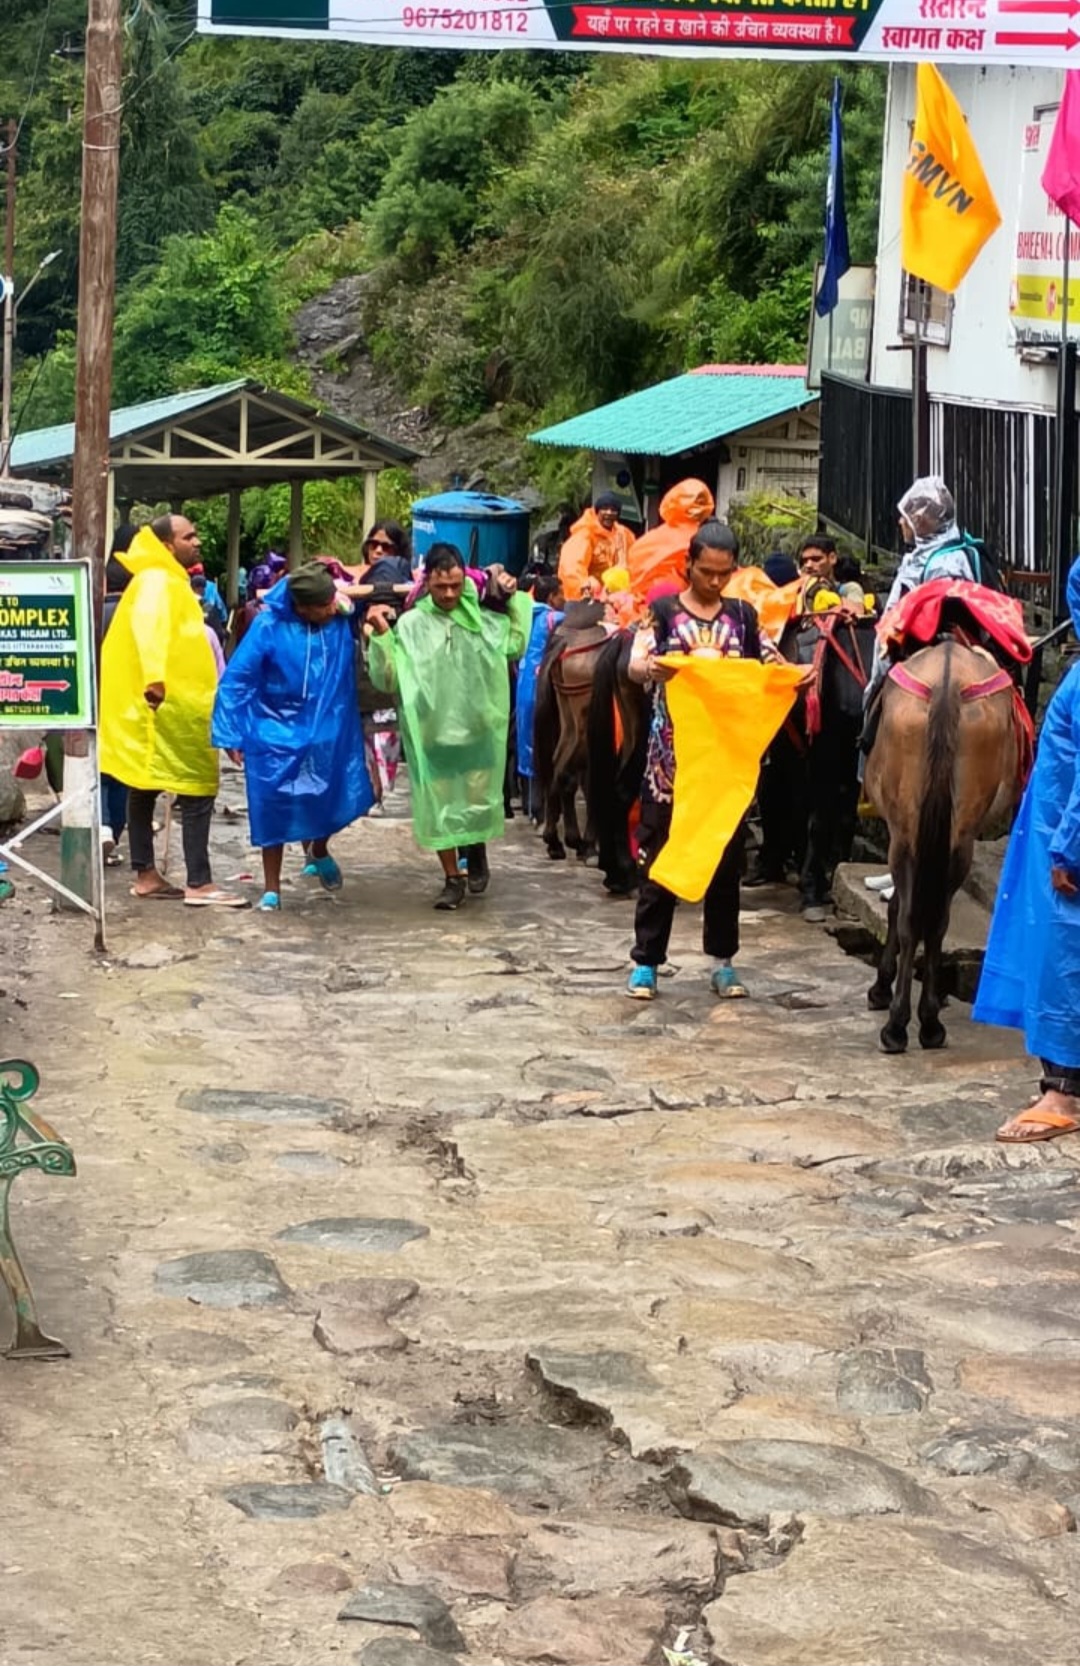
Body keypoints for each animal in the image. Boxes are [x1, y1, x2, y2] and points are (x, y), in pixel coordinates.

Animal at [866, 639, 1026, 1052]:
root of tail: (948, 683)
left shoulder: (900, 831)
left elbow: (897, 909)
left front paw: (882, 987)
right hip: (957, 834)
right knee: (935, 920)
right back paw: (923, 1020)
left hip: (910, 830)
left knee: (914, 919)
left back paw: (905, 1024)